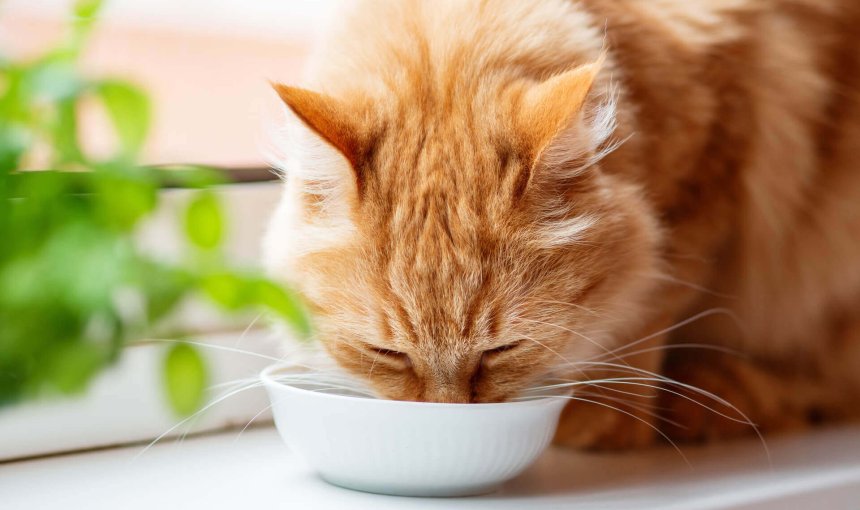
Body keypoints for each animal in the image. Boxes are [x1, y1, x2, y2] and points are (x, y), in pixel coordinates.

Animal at [262, 0, 860, 448]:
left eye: (502, 351)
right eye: (388, 354)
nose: (447, 412)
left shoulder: (711, 175)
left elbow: (643, 312)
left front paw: (603, 418)